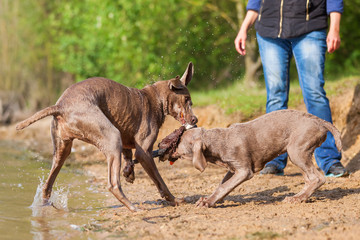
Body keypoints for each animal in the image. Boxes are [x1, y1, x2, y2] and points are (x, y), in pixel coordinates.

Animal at [16, 62, 197, 212]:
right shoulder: (144, 152)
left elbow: (128, 158)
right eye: (187, 99)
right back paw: (134, 208)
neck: (156, 99)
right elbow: (160, 182)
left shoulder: (127, 142)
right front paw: (174, 200)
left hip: (63, 149)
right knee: (113, 185)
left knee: (47, 185)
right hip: (111, 136)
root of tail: (60, 106)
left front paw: (129, 173)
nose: (195, 119)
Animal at [171, 109, 340, 207]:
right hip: (298, 152)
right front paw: (210, 199)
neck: (217, 143)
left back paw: (298, 198)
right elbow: (222, 185)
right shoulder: (233, 169)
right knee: (309, 179)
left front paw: (208, 202)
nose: (169, 148)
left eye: (179, 142)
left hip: (296, 150)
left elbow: (225, 186)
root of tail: (319, 120)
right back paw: (299, 197)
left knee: (317, 178)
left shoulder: (244, 171)